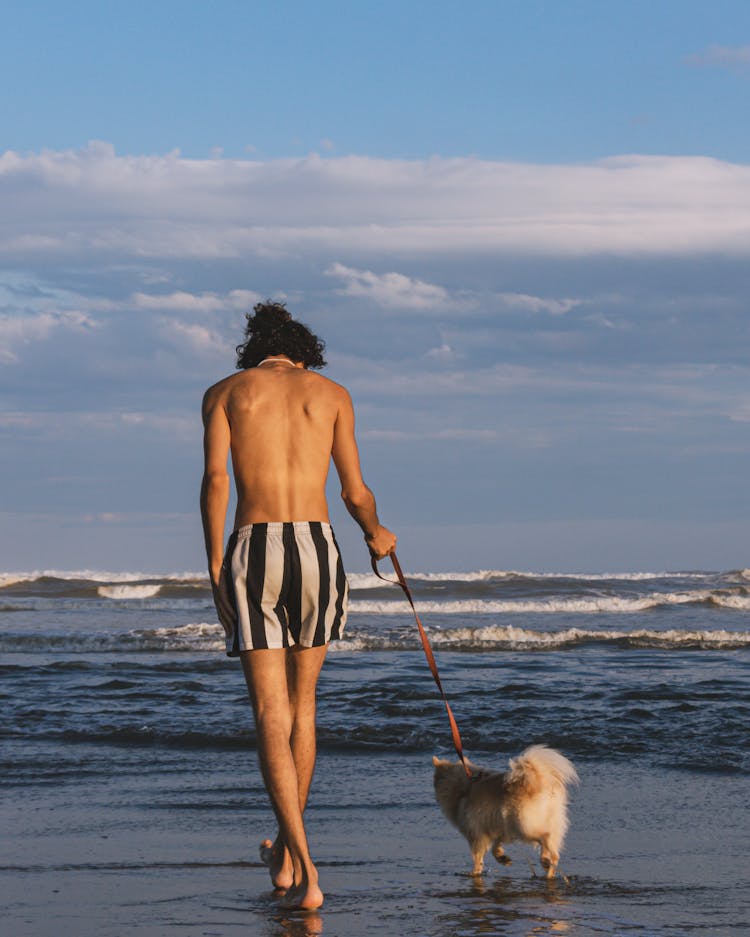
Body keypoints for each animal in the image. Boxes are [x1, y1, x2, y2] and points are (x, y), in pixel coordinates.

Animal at [432, 744, 580, 876]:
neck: (464, 785)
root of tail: (540, 780)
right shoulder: (500, 825)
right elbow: (496, 844)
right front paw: (502, 857)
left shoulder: (476, 832)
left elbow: (478, 855)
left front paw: (475, 872)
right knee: (552, 848)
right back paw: (548, 868)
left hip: (523, 824)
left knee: (546, 837)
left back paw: (545, 861)